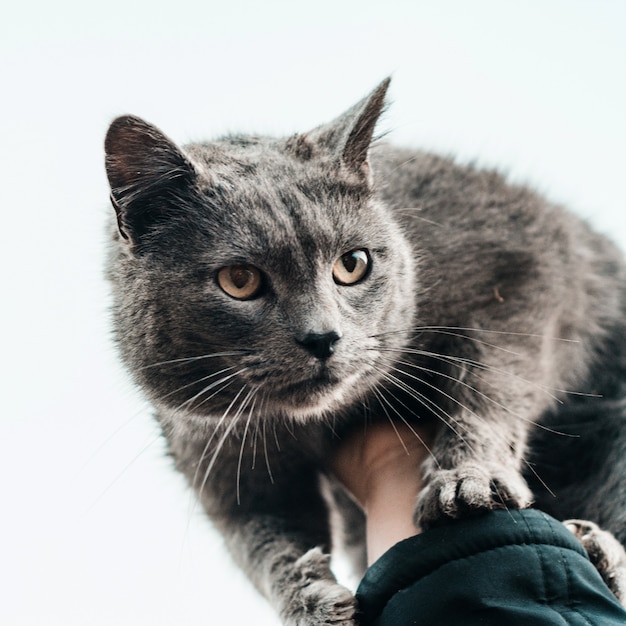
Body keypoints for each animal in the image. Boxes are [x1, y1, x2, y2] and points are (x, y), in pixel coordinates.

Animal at [105, 79, 624, 624]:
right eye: (239, 280)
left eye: (352, 264)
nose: (322, 337)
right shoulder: (221, 458)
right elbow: (261, 543)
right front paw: (311, 602)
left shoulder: (528, 263)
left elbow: (490, 382)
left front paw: (467, 480)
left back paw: (600, 551)